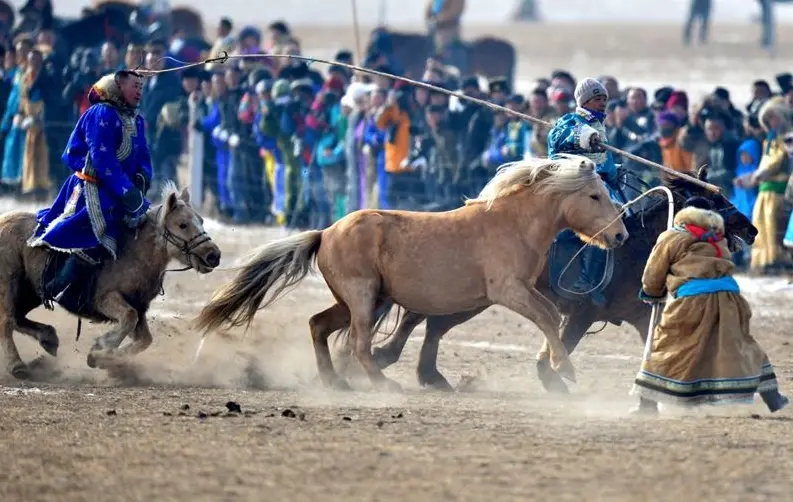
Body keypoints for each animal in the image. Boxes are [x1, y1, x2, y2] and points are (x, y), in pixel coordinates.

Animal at [0, 183, 220, 376]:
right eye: (182, 224)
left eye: (201, 220)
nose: (214, 255)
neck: (134, 253)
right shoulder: (106, 300)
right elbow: (129, 319)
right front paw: (101, 349)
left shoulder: (139, 307)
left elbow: (144, 340)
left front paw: (102, 357)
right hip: (9, 284)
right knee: (6, 321)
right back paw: (17, 365)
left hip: (30, 292)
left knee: (17, 318)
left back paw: (49, 339)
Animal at [195, 157, 628, 392]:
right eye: (594, 196)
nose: (621, 236)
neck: (512, 223)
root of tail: (326, 232)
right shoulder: (508, 291)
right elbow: (546, 318)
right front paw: (565, 368)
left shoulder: (522, 291)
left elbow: (551, 317)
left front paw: (556, 367)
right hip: (363, 299)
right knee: (358, 343)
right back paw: (383, 384)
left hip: (359, 301)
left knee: (318, 325)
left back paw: (335, 381)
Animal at [344, 169, 756, 392]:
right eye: (711, 202)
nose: (751, 230)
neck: (634, 245)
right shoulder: (582, 314)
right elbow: (562, 341)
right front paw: (554, 377)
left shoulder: (639, 316)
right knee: (423, 319)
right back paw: (392, 361)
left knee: (431, 323)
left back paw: (419, 371)